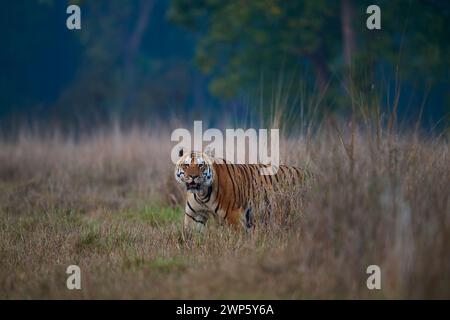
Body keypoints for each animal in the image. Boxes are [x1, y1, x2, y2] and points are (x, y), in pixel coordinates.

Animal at [174, 149, 312, 234]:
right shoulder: (194, 216)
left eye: (200, 165)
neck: (201, 195)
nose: (193, 176)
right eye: (186, 165)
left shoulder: (233, 216)